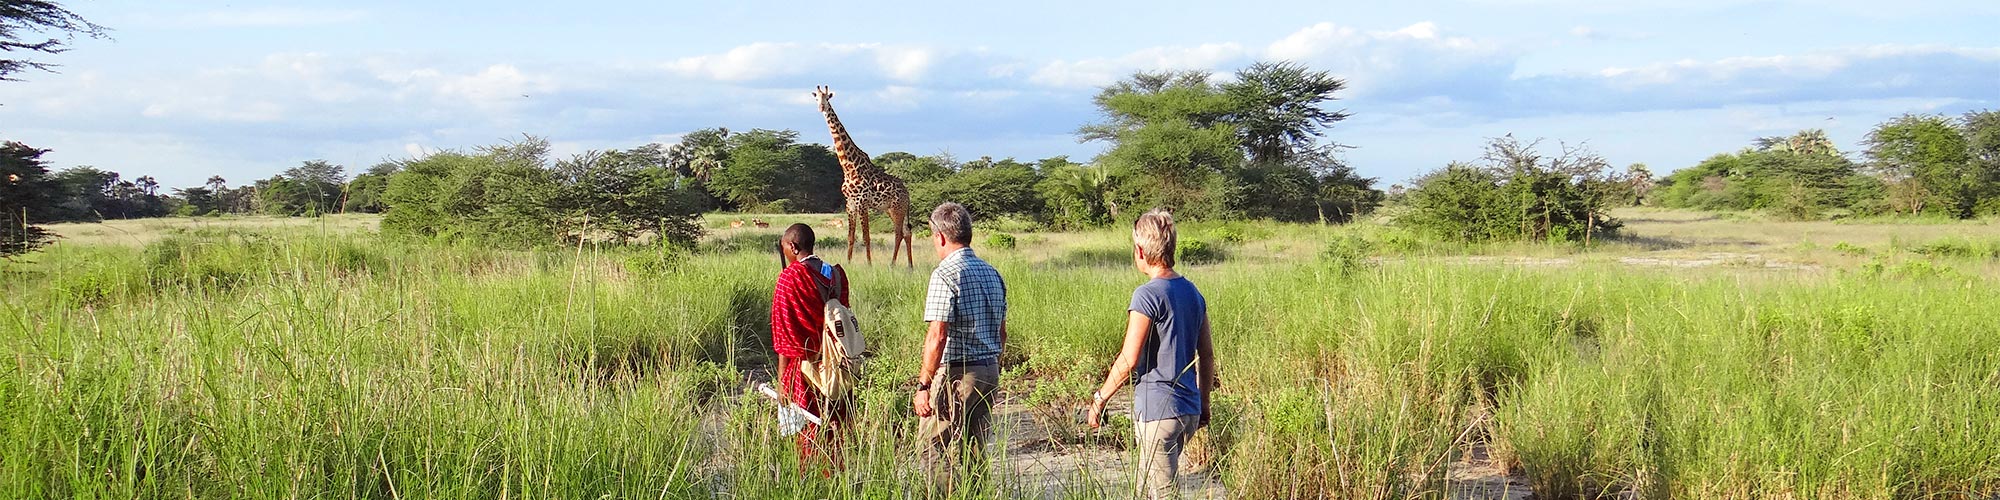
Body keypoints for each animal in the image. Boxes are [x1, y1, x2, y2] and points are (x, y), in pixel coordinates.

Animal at [812, 84, 916, 268]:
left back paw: (892, 264)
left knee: (898, 234)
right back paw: (910, 266)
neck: (848, 166)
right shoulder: (850, 204)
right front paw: (848, 262)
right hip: (894, 209)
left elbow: (866, 237)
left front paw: (869, 264)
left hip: (897, 209)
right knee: (907, 232)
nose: (821, 108)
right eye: (816, 97)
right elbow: (850, 237)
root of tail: (907, 193)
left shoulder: (862, 203)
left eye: (827, 98)